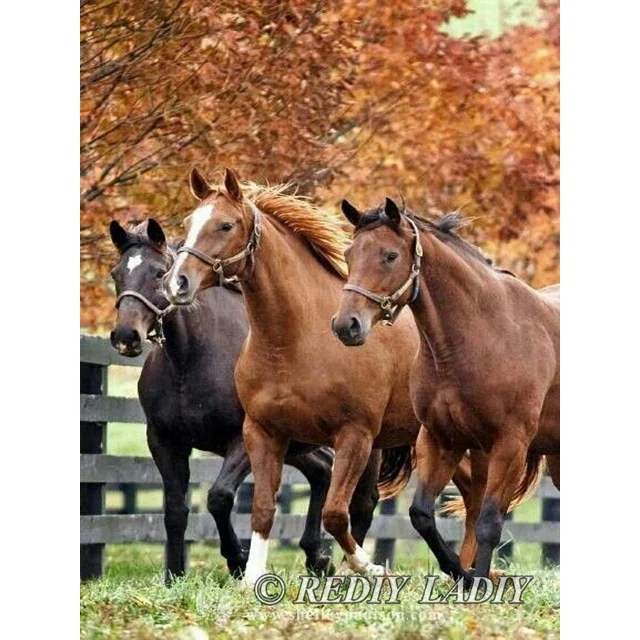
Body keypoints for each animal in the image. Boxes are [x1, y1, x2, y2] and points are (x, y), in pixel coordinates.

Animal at [109, 218, 382, 584]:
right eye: (116, 273)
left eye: (158, 272)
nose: (126, 336)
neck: (189, 360)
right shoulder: (165, 441)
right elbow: (175, 510)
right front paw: (174, 576)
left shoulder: (242, 439)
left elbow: (219, 497)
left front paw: (237, 560)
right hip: (298, 445)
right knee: (323, 471)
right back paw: (316, 556)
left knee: (363, 501)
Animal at [162, 167, 474, 585]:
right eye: (187, 223)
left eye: (225, 225)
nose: (176, 283)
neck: (293, 341)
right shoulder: (263, 433)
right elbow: (263, 508)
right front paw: (252, 577)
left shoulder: (353, 436)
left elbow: (334, 513)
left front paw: (366, 566)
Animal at [333, 197, 559, 584]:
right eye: (349, 253)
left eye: (390, 255)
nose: (346, 325)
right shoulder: (441, 439)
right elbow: (422, 514)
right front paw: (460, 573)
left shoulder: (510, 444)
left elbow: (489, 522)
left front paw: (479, 581)